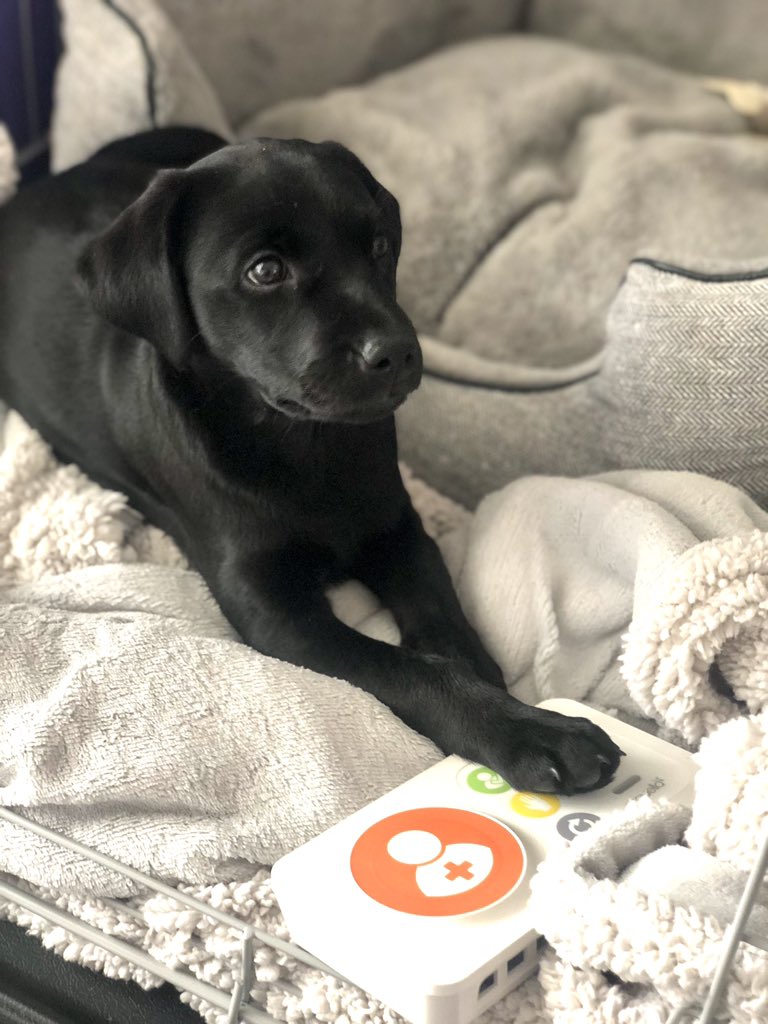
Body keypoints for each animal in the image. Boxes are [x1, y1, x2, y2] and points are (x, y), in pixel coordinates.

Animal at [0, 128, 626, 794]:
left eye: (379, 245)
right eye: (265, 270)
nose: (398, 352)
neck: (304, 442)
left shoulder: (397, 527)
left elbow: (441, 614)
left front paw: (494, 686)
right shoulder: (274, 609)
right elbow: (408, 669)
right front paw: (529, 731)